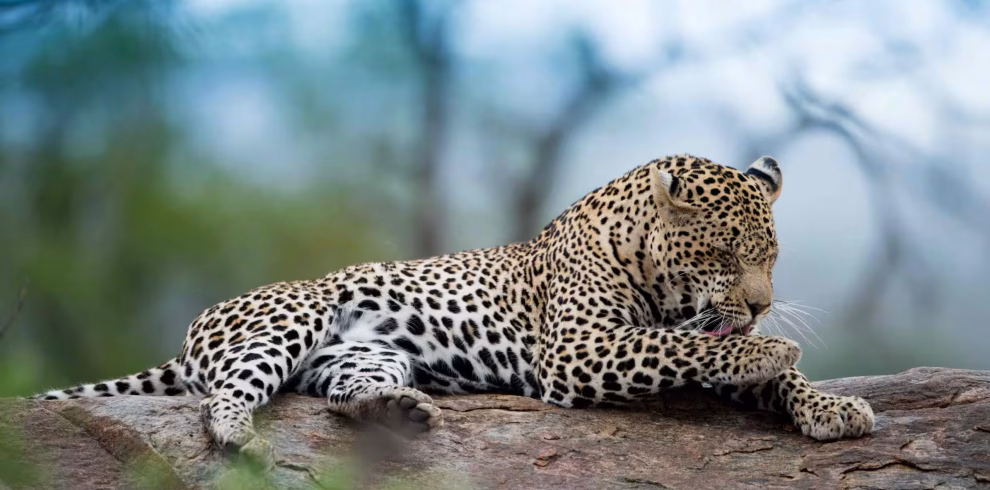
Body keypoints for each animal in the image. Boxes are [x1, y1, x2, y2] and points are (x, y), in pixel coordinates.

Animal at [33, 154, 874, 468]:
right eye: (727, 254)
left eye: (773, 257)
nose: (763, 307)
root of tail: (198, 330)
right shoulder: (578, 348)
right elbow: (694, 350)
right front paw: (772, 353)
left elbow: (734, 362)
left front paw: (835, 407)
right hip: (290, 316)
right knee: (227, 393)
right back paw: (239, 435)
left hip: (362, 353)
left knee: (336, 393)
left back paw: (403, 412)